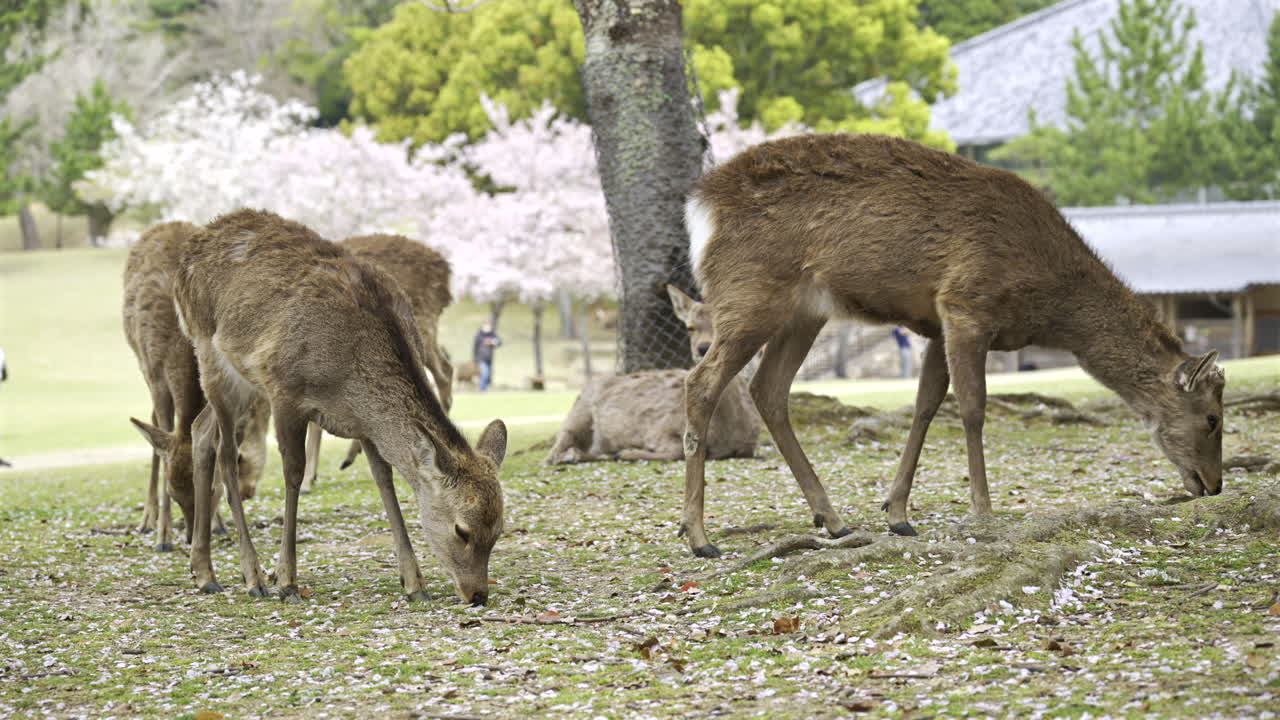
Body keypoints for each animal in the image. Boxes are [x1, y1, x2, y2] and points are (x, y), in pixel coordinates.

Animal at [122, 221, 269, 552]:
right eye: (174, 493)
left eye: (212, 490)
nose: (190, 535)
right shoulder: (157, 376)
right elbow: (165, 436)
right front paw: (164, 536)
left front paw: (217, 523)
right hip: (141, 364)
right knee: (152, 424)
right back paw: (148, 520)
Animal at [544, 285, 759, 464]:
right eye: (690, 327)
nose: (703, 348)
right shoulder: (659, 429)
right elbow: (676, 451)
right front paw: (627, 452)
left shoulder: (747, 446)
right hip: (579, 412)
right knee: (554, 451)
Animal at [680, 133, 1225, 557]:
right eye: (1214, 418)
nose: (1214, 484)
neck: (1049, 301)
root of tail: (701, 204)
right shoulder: (966, 304)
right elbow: (972, 407)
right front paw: (983, 510)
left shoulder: (937, 325)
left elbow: (925, 404)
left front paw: (897, 512)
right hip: (749, 292)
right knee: (701, 381)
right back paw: (700, 537)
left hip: (805, 310)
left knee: (768, 389)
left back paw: (832, 519)